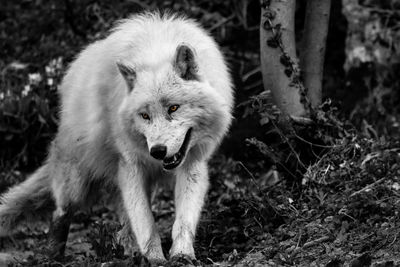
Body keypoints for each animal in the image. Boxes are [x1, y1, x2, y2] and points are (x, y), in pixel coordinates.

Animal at [0, 12, 234, 264]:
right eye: (144, 115)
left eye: (173, 108)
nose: (157, 151)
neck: (156, 51)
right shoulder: (131, 166)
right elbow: (146, 223)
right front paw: (155, 259)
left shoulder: (192, 164)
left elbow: (183, 220)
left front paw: (181, 254)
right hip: (77, 182)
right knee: (60, 212)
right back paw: (54, 255)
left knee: (123, 221)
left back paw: (126, 251)